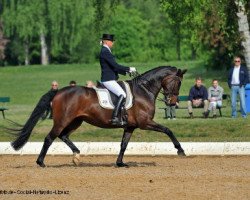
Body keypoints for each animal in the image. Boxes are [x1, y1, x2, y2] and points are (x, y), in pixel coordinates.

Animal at [12, 66, 188, 167]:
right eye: (178, 82)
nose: (172, 102)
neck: (144, 90)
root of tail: (58, 91)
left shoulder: (130, 126)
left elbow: (123, 145)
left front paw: (120, 163)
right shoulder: (145, 122)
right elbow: (168, 130)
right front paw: (180, 150)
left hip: (76, 121)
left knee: (63, 136)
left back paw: (76, 155)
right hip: (63, 120)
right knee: (50, 138)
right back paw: (41, 162)